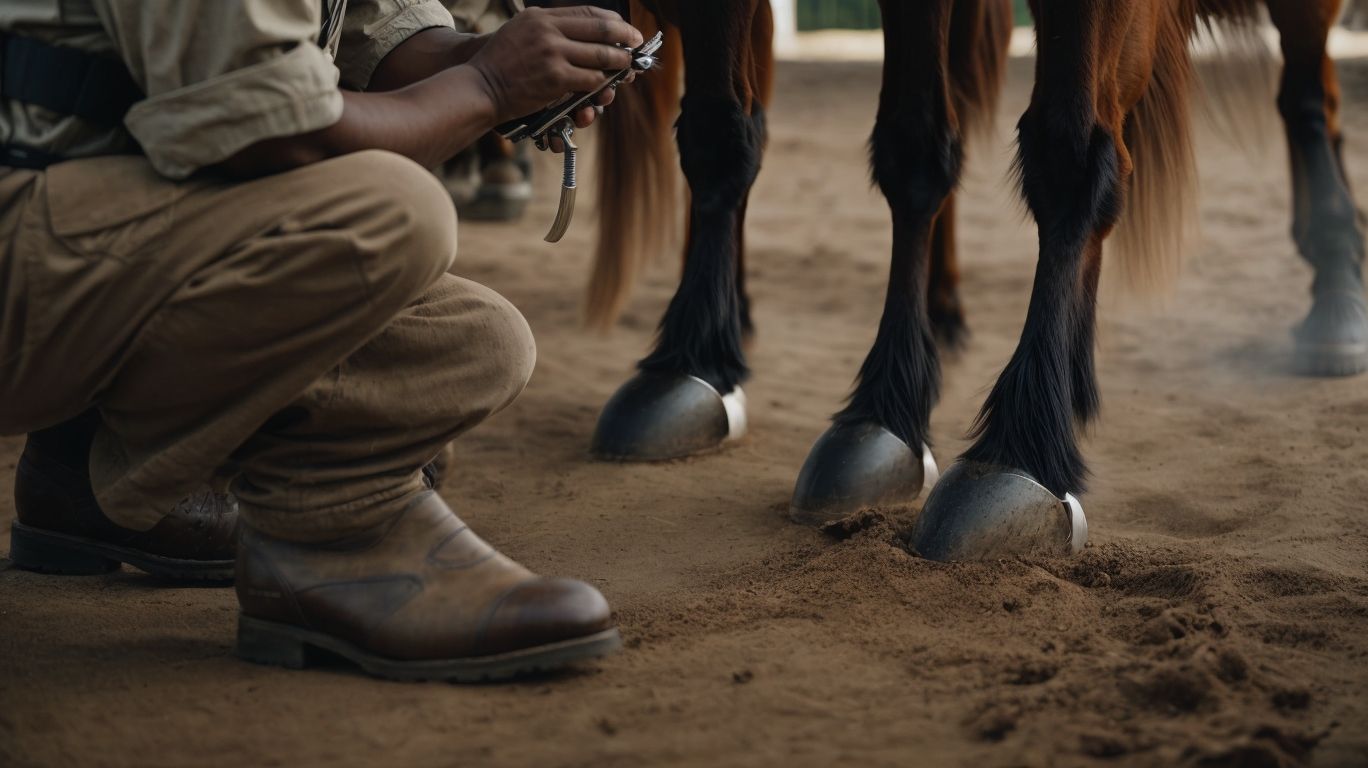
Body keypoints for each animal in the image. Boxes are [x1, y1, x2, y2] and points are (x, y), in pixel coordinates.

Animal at [538, 0, 1366, 560]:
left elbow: (1068, 156)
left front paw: (1022, 450)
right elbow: (895, 144)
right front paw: (704, 366)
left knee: (1305, 90)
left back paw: (1336, 297)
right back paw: (1073, 378)